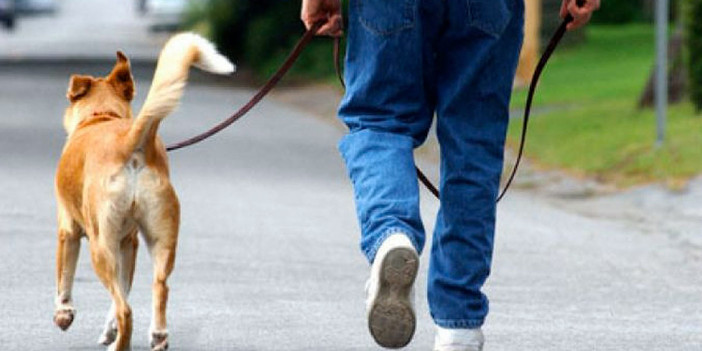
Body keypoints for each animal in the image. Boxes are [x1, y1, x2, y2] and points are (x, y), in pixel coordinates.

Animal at [53, 33, 234, 351]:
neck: (102, 115)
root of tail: (129, 141)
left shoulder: (69, 231)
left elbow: (65, 278)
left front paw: (64, 314)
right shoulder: (130, 243)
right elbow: (123, 290)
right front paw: (108, 328)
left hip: (101, 246)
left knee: (125, 308)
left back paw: (120, 344)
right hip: (160, 238)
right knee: (157, 287)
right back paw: (158, 334)